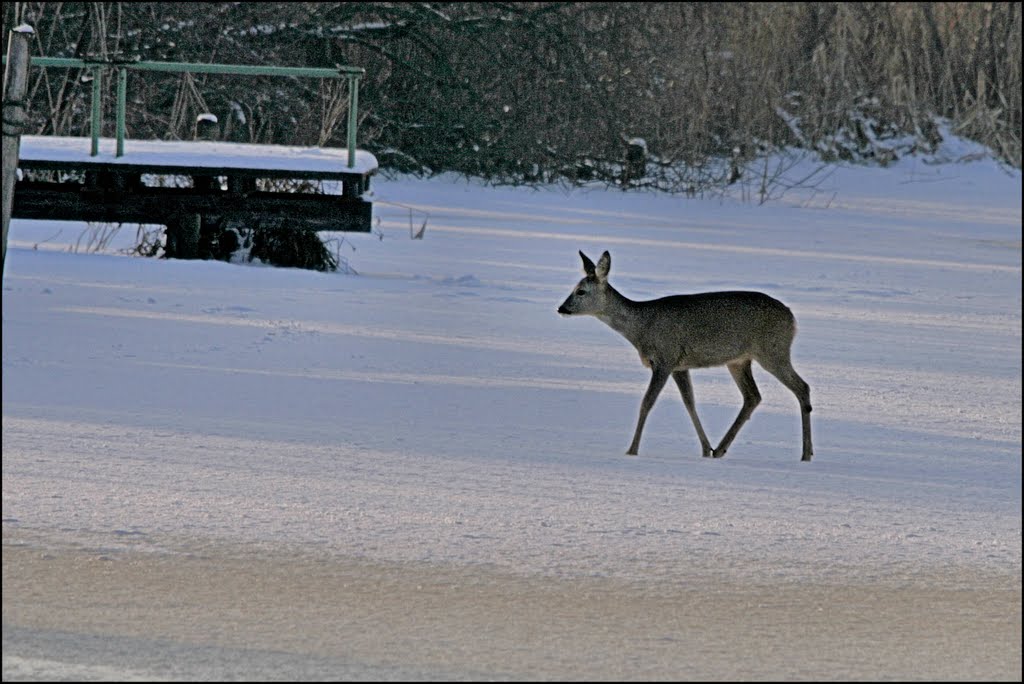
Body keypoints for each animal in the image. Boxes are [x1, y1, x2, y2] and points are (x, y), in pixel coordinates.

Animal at [557, 248, 811, 462]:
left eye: (581, 291)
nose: (562, 308)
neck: (641, 327)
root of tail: (793, 319)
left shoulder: (665, 358)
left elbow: (647, 402)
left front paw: (632, 450)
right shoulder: (680, 365)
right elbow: (690, 402)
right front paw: (705, 449)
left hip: (773, 351)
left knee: (802, 387)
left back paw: (806, 454)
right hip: (739, 360)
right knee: (753, 396)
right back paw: (720, 449)